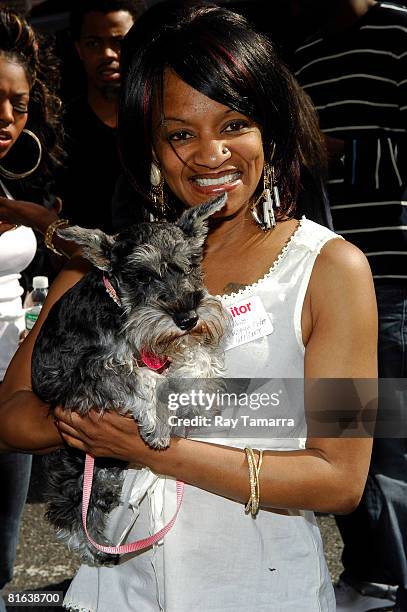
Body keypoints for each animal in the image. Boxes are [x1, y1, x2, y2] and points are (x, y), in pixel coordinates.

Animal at [31, 194, 233, 568]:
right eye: (141, 276)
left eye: (189, 264)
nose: (187, 317)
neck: (120, 309)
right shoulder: (81, 372)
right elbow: (135, 374)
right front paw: (157, 419)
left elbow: (197, 354)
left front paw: (198, 395)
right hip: (74, 465)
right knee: (70, 510)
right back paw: (93, 547)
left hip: (105, 471)